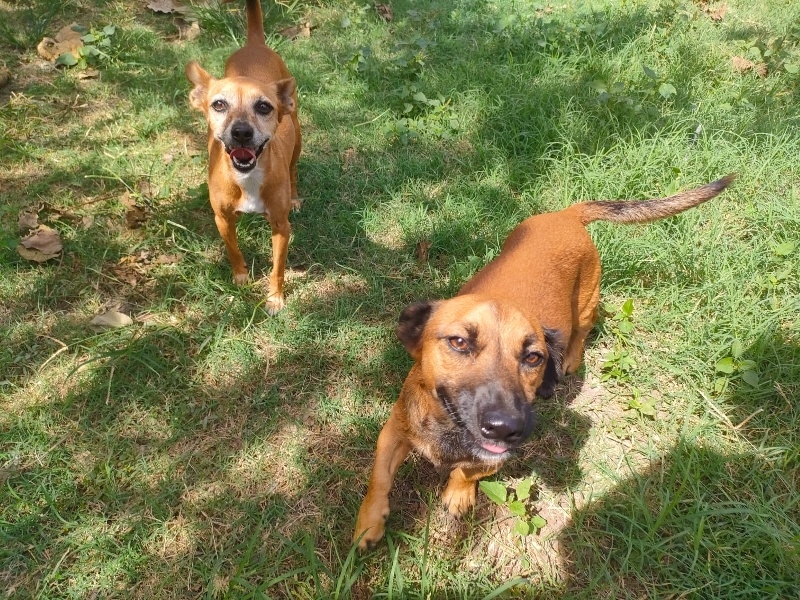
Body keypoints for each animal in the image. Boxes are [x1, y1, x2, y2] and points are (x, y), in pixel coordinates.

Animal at [186, 0, 301, 314]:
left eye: (263, 107)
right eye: (219, 104)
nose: (240, 132)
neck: (247, 177)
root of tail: (254, 44)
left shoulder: (281, 227)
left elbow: (277, 269)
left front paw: (274, 298)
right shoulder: (222, 219)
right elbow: (233, 250)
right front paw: (240, 277)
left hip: (298, 136)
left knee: (294, 168)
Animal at [353, 174, 736, 549]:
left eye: (533, 357)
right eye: (459, 342)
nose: (506, 427)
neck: (450, 430)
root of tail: (567, 215)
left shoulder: (496, 459)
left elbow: (466, 470)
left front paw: (458, 494)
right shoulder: (392, 433)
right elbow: (379, 479)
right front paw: (369, 523)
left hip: (586, 304)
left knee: (584, 328)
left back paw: (571, 359)